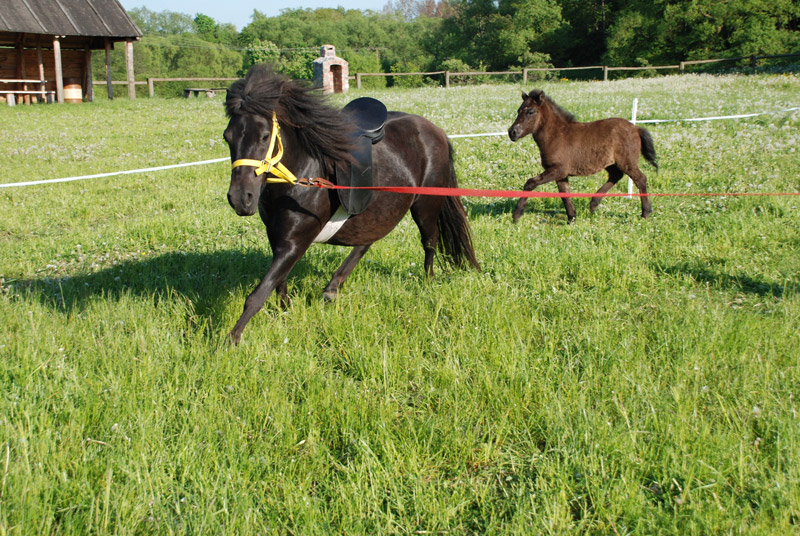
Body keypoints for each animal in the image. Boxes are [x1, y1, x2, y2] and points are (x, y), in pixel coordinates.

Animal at [222, 66, 478, 344]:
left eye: (265, 136)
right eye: (227, 137)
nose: (241, 198)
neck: (304, 174)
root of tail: (436, 130)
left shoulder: (295, 242)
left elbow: (257, 295)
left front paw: (230, 340)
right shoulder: (278, 237)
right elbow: (278, 283)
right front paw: (284, 311)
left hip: (425, 207)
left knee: (429, 241)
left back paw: (427, 281)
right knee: (368, 240)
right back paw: (333, 287)